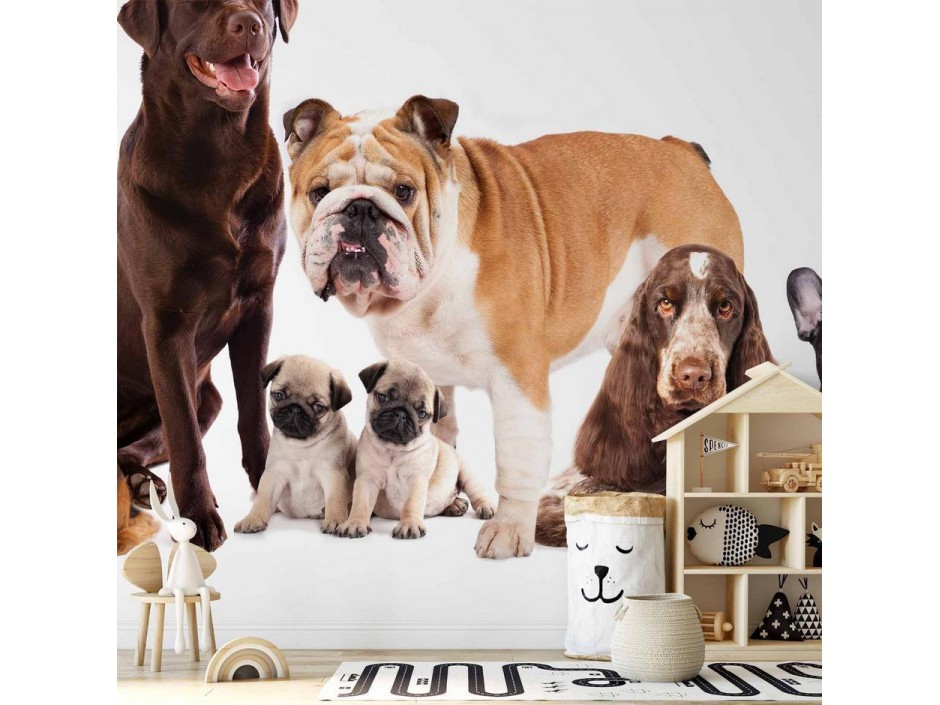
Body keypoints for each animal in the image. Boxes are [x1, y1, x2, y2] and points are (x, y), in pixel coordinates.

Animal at [235, 358, 356, 532]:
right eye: (279, 395)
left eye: (318, 407)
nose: (295, 409)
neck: (301, 445)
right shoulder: (274, 473)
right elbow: (262, 499)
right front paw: (253, 519)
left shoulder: (333, 473)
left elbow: (335, 500)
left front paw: (336, 521)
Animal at [338, 360, 500, 536]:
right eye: (383, 397)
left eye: (421, 413)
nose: (401, 413)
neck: (393, 450)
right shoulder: (367, 478)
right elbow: (361, 504)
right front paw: (355, 523)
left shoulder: (416, 480)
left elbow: (411, 504)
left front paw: (409, 525)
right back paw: (454, 506)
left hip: (467, 474)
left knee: (476, 492)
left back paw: (484, 507)